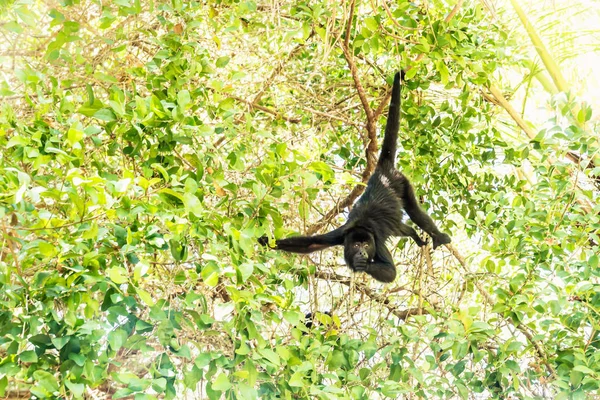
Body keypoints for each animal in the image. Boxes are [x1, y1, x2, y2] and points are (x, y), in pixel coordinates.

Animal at [258, 72, 450, 284]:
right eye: (356, 245)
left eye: (366, 245)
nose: (362, 254)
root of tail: (381, 170)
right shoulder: (342, 234)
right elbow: (310, 244)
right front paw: (267, 241)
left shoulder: (376, 241)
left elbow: (391, 272)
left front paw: (364, 265)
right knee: (400, 226)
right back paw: (413, 234)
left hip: (401, 181)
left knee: (415, 211)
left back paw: (438, 237)